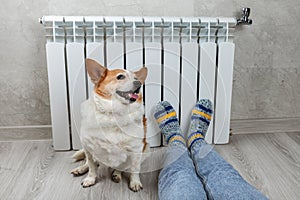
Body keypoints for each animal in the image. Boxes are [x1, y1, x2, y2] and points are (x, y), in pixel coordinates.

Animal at [71, 58, 149, 191]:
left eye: (135, 77)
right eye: (120, 76)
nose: (138, 83)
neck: (114, 115)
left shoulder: (136, 149)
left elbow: (134, 169)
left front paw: (135, 182)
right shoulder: (88, 146)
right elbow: (91, 166)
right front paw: (90, 179)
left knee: (121, 167)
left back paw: (116, 174)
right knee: (92, 163)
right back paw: (80, 169)